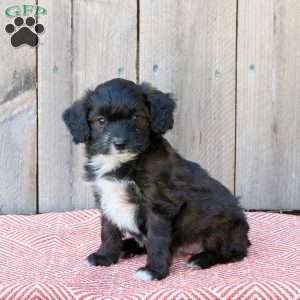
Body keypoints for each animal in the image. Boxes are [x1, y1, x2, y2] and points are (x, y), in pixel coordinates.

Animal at [62, 78, 250, 282]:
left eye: (136, 117)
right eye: (101, 121)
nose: (119, 143)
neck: (125, 162)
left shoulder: (158, 204)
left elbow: (157, 239)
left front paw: (153, 270)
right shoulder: (106, 198)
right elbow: (108, 231)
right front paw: (105, 257)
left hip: (222, 228)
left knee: (234, 253)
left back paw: (201, 259)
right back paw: (127, 246)